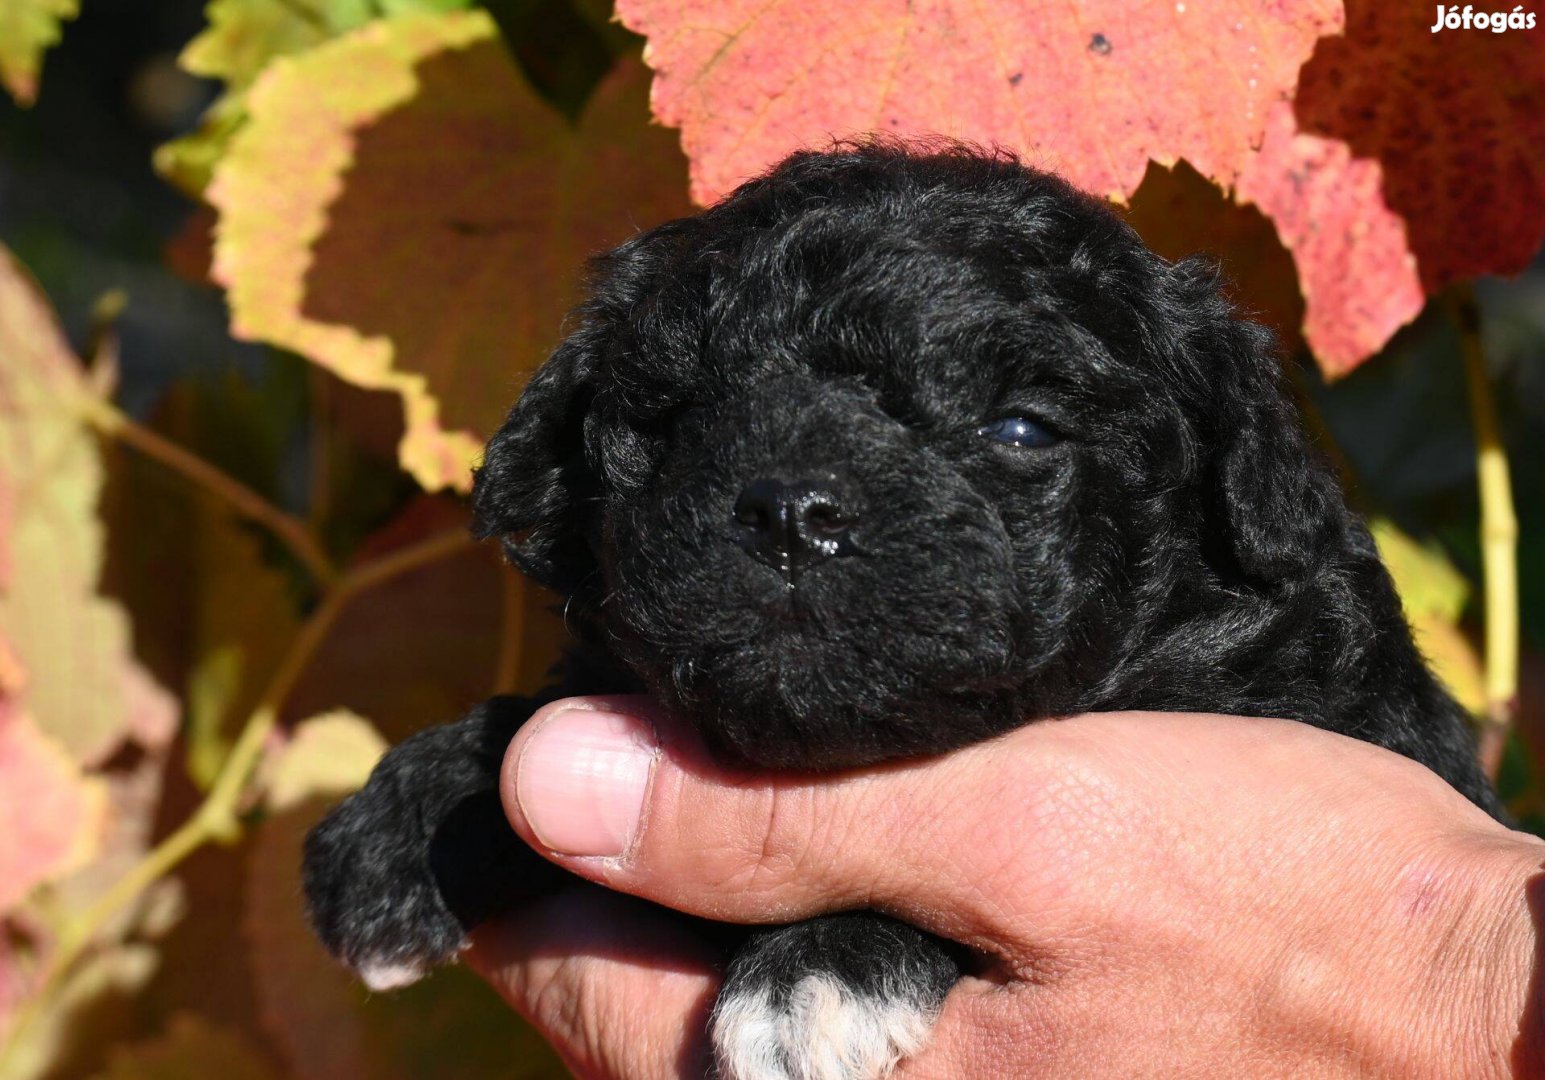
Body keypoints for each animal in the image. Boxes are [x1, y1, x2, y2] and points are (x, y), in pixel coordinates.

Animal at [301, 141, 1495, 1080]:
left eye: (1019, 430)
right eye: (677, 419)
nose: (792, 511)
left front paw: (819, 968)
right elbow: (541, 710)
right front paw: (405, 817)